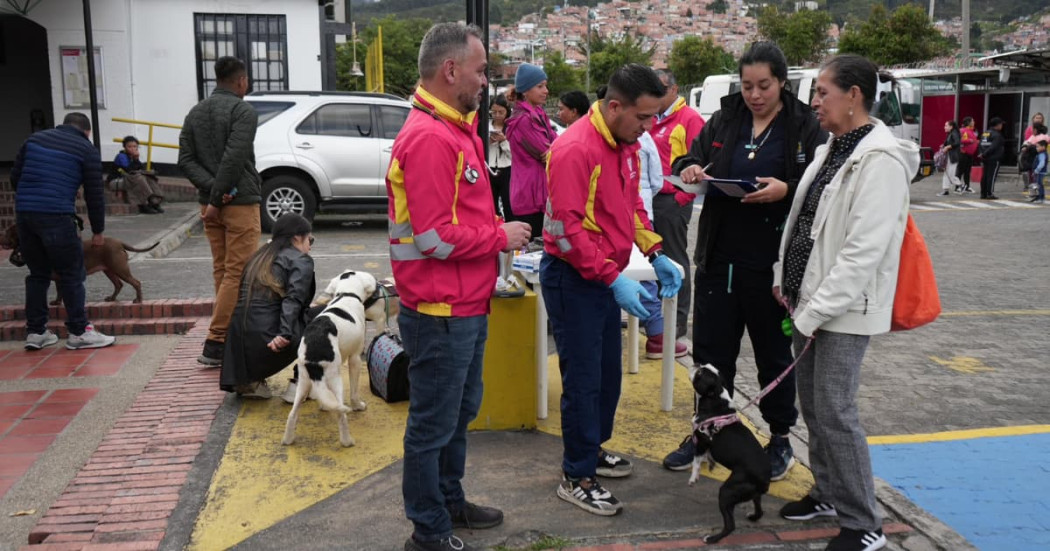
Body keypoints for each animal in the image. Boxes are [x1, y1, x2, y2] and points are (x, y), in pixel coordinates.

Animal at [1, 223, 160, 302]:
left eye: (8, 232)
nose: (0, 236)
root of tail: (119, 242)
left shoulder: (60, 277)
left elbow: (61, 292)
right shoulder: (58, 278)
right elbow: (59, 291)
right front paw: (58, 302)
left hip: (119, 269)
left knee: (136, 282)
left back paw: (138, 300)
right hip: (109, 270)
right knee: (118, 284)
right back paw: (112, 298)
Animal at [279, 268, 377, 447]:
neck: (346, 294)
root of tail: (313, 349)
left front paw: (324, 406)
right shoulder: (355, 359)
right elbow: (354, 391)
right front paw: (358, 406)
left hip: (303, 382)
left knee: (292, 414)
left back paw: (288, 439)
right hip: (335, 379)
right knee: (340, 413)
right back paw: (347, 441)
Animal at [688, 363, 772, 541]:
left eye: (700, 374)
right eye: (705, 366)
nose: (697, 363)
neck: (715, 399)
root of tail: (764, 480)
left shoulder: (701, 441)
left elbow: (696, 461)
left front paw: (693, 478)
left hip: (727, 492)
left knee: (730, 525)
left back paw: (712, 539)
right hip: (752, 493)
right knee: (759, 508)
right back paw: (753, 516)